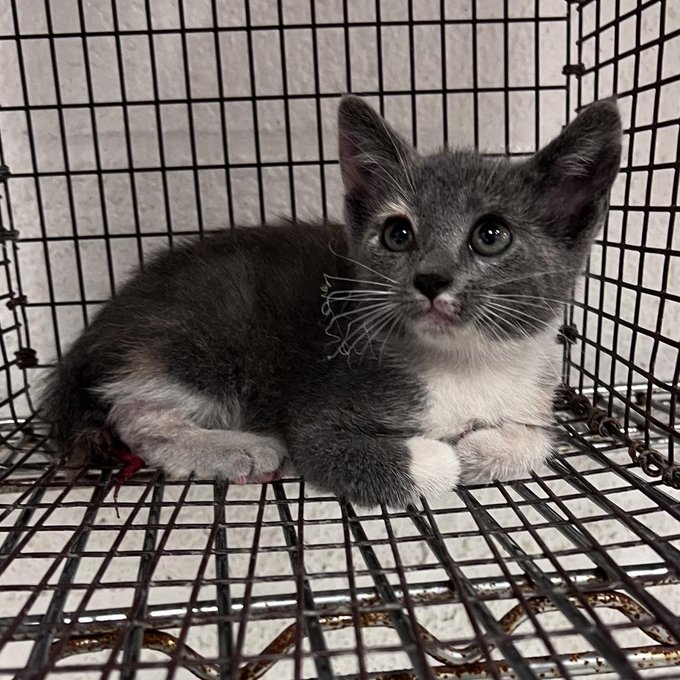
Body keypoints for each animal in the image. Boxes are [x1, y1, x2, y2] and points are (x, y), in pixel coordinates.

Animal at [38, 98, 620, 508]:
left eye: (491, 235)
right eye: (398, 234)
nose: (430, 279)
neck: (465, 363)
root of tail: (104, 320)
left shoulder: (535, 385)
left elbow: (539, 436)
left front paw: (488, 447)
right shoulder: (329, 402)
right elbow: (337, 448)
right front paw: (445, 455)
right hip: (201, 335)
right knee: (134, 411)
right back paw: (233, 447)